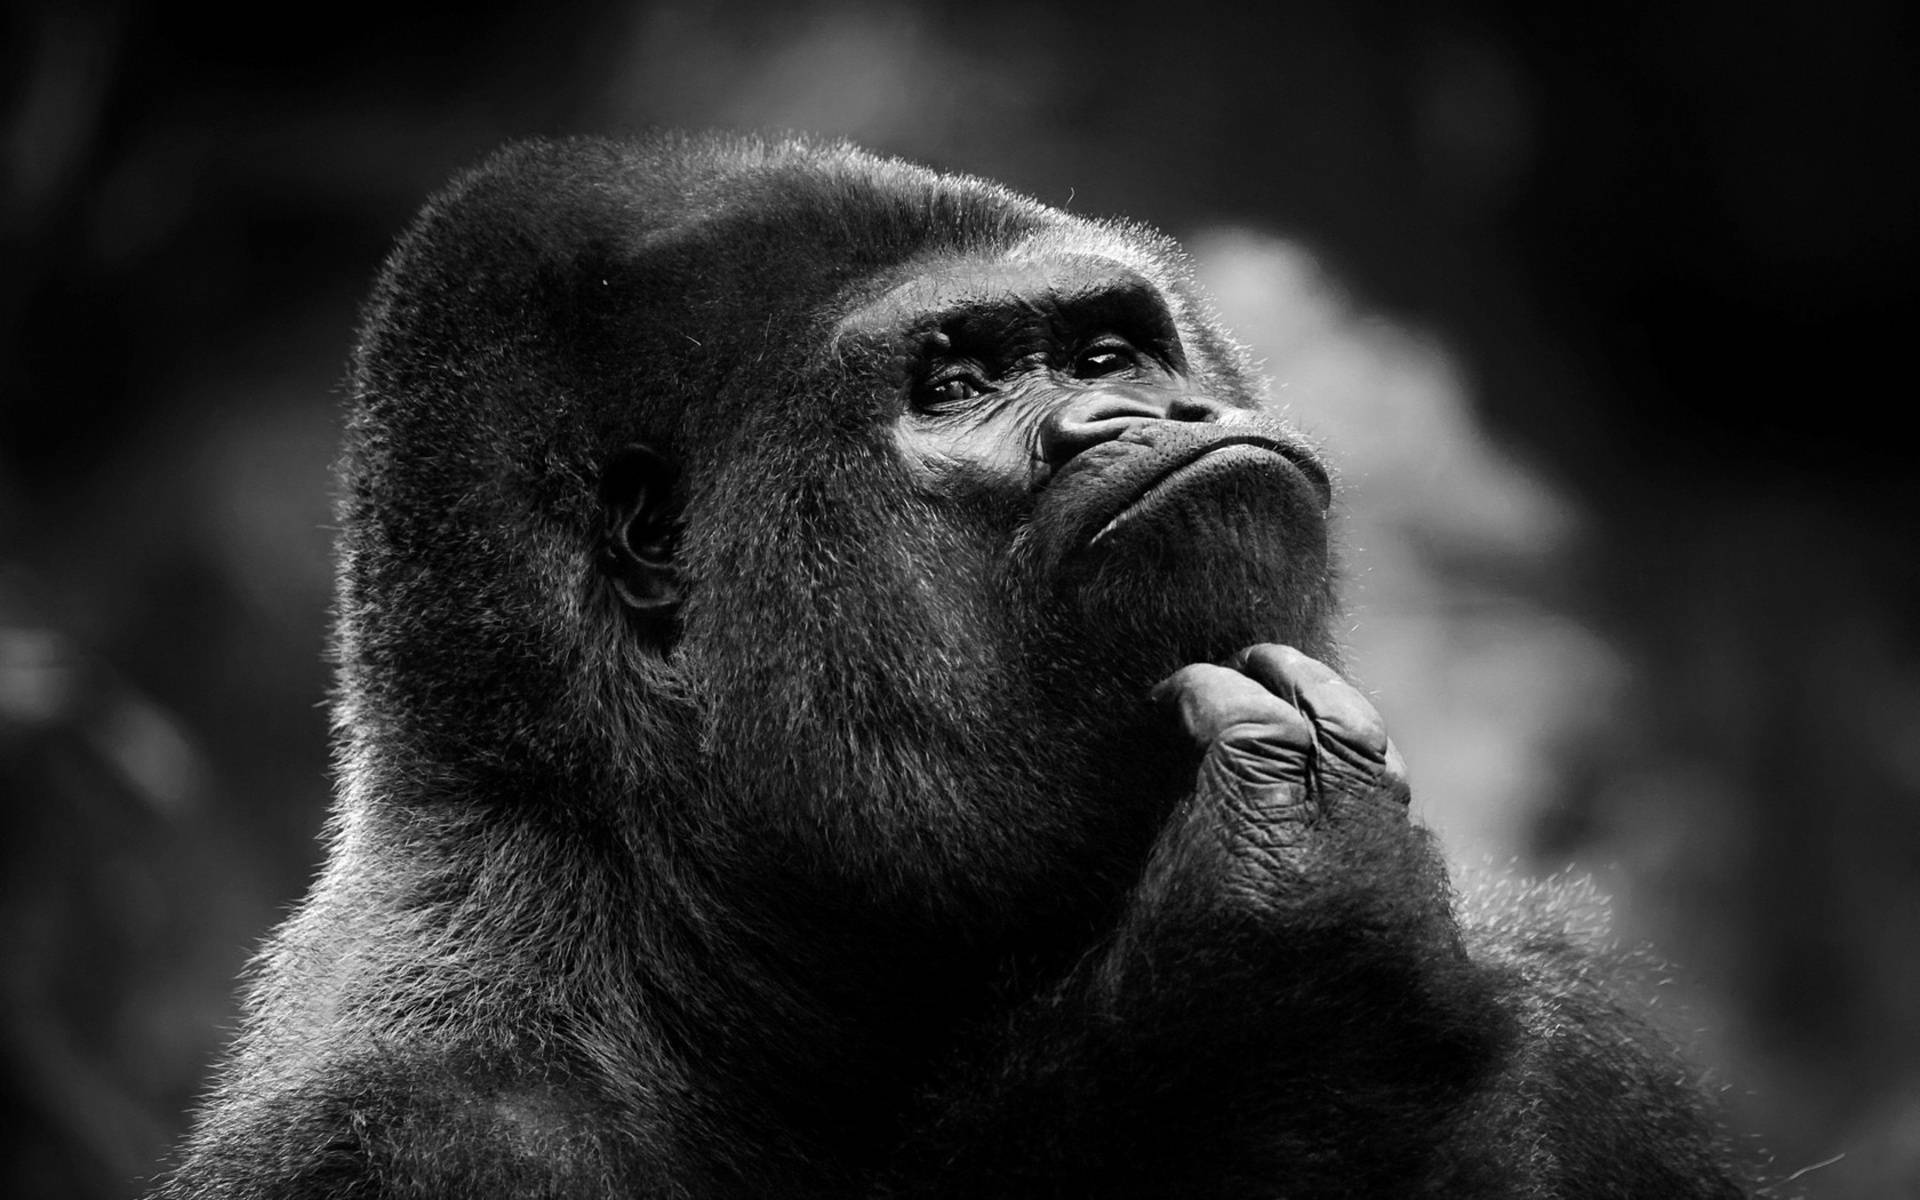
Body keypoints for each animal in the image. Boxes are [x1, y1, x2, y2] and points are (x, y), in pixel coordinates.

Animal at [153, 135, 1758, 1190]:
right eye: (958, 385)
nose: (1142, 413)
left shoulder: (1571, 1012)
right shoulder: (418, 1131)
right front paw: (1275, 996)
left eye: (1108, 351)